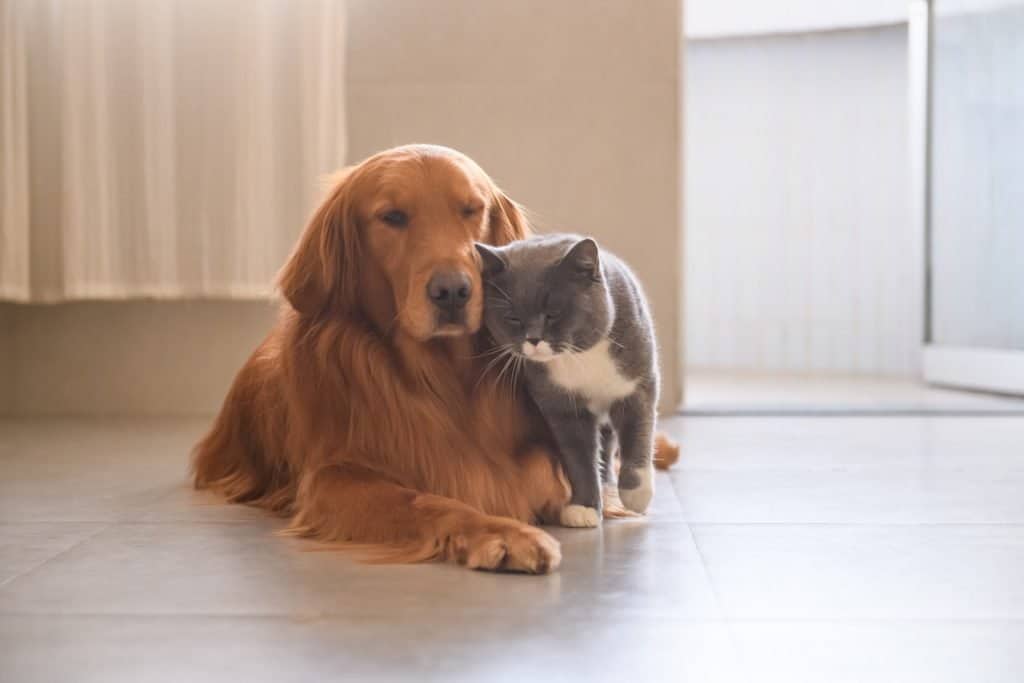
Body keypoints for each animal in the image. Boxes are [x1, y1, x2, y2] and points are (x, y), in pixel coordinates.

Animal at [475, 235, 659, 528]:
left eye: (553, 313)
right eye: (513, 318)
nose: (534, 339)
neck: (579, 358)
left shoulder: (637, 386)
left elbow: (638, 435)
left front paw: (636, 495)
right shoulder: (562, 407)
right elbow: (579, 457)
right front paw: (583, 508)